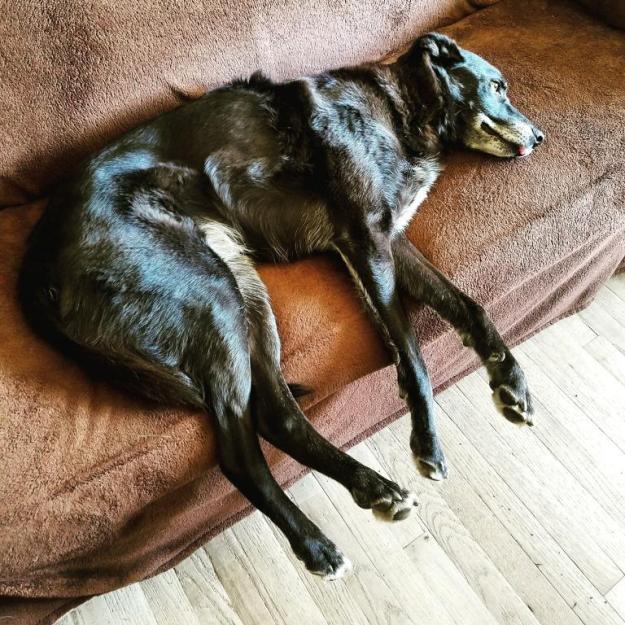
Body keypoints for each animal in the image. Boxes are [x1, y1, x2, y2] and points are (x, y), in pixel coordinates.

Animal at [19, 33, 544, 579]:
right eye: (497, 86)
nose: (541, 136)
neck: (399, 104)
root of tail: (34, 262)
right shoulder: (366, 239)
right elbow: (414, 352)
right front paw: (428, 442)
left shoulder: (386, 240)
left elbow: (469, 306)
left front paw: (511, 381)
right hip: (212, 295)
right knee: (237, 450)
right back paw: (316, 543)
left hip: (246, 295)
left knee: (276, 416)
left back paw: (370, 489)